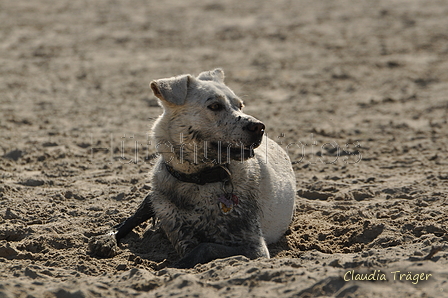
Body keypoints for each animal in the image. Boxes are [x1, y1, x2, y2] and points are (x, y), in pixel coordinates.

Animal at [89, 68, 296, 268]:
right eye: (215, 106)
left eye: (240, 106)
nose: (259, 127)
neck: (199, 178)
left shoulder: (255, 248)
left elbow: (203, 247)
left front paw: (176, 266)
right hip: (154, 196)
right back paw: (107, 239)